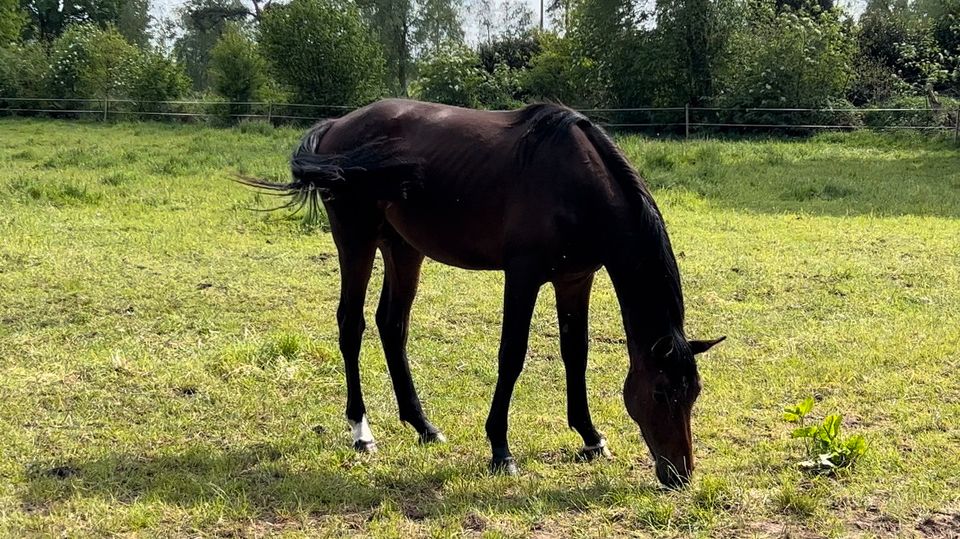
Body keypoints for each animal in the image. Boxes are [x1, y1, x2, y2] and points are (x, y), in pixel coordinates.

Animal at [238, 98, 720, 490]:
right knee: (350, 325)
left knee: (392, 326)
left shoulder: (575, 279)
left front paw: (590, 436)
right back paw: (362, 432)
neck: (575, 181)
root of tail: (337, 124)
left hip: (402, 247)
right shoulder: (523, 276)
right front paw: (500, 450)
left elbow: (575, 353)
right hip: (355, 240)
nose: (680, 475)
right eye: (660, 394)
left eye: (694, 392)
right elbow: (512, 356)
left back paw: (423, 426)